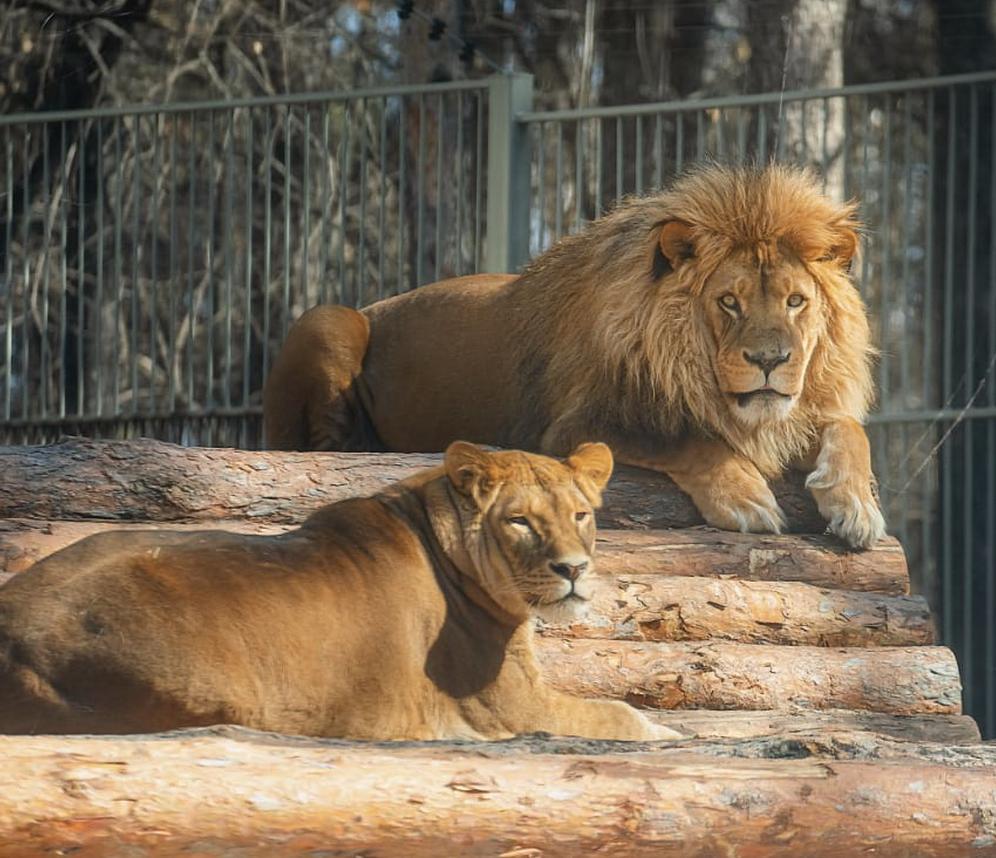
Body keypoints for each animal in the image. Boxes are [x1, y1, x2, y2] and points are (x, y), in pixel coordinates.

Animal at [0, 442, 676, 744]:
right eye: (521, 523)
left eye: (581, 514)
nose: (574, 569)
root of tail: (11, 633)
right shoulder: (513, 709)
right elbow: (619, 713)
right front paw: (666, 733)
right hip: (214, 689)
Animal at [262, 164, 880, 544]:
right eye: (729, 302)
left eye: (796, 301)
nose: (771, 361)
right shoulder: (574, 427)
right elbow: (685, 438)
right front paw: (747, 499)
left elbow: (850, 430)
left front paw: (856, 506)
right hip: (326, 319)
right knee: (317, 446)